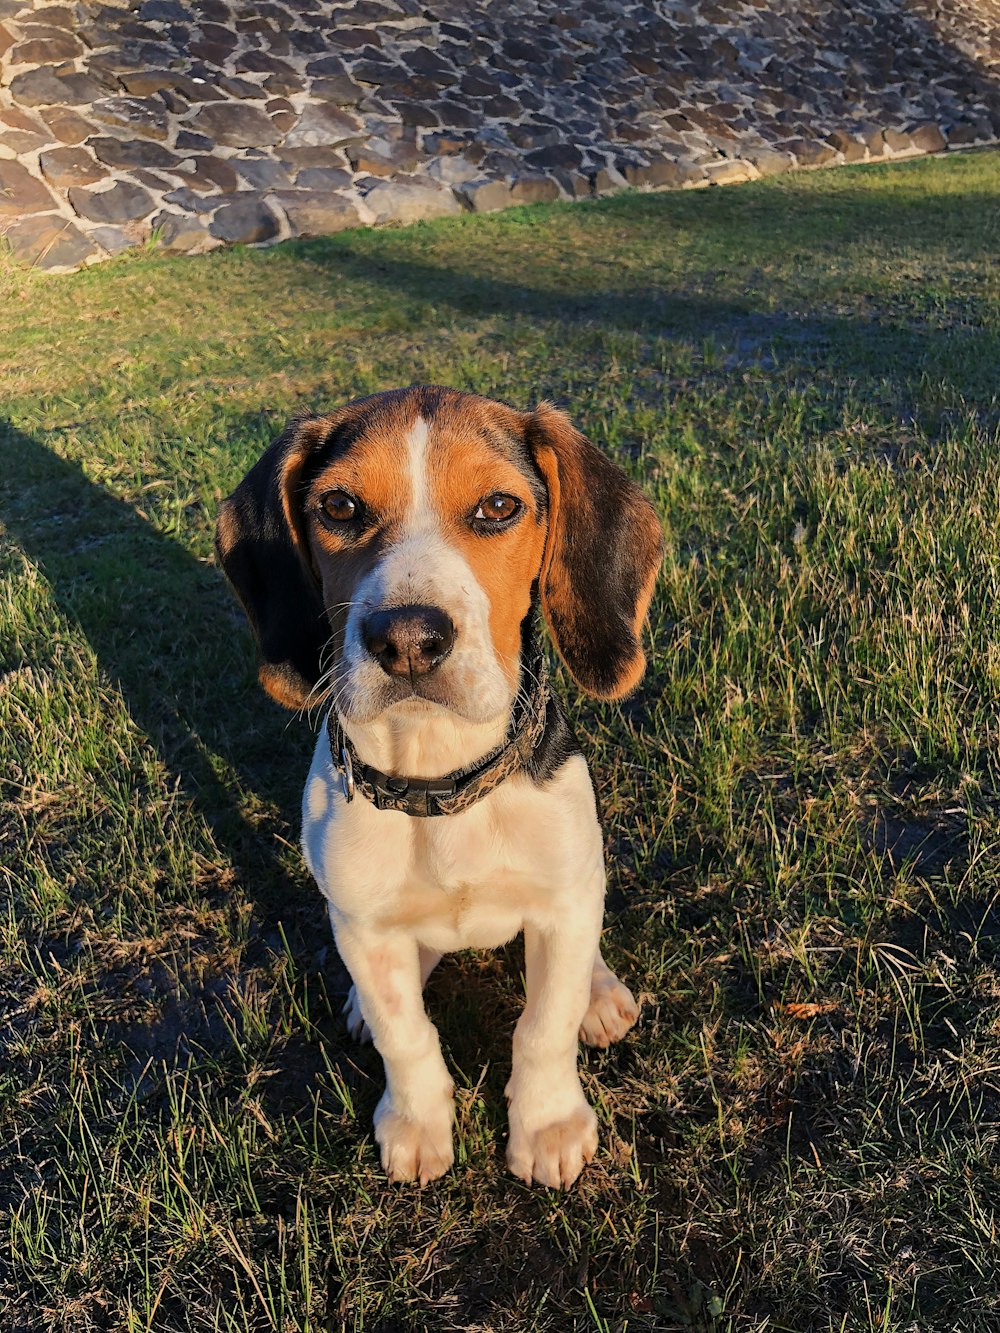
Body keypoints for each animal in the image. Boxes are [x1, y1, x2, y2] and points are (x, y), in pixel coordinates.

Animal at [216, 383, 661, 1189]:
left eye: (497, 507)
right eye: (339, 507)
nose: (407, 640)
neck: (438, 783)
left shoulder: (562, 901)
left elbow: (543, 1025)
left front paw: (548, 1125)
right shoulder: (360, 923)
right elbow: (407, 1033)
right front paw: (417, 1123)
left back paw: (601, 993)